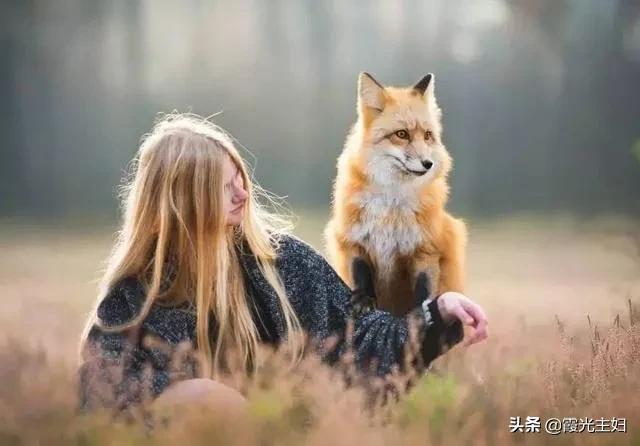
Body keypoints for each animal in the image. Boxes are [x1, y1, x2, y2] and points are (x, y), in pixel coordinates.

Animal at [324, 72, 464, 318]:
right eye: (402, 134)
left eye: (428, 136)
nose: (428, 164)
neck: (391, 204)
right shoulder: (352, 238)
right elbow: (361, 274)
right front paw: (364, 299)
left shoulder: (426, 248)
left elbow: (424, 287)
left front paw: (421, 315)